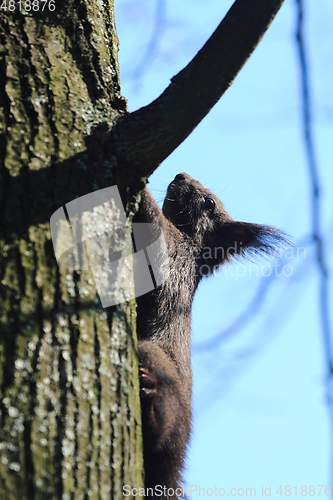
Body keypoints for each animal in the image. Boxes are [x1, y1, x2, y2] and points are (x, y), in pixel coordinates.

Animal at [134, 172, 284, 496]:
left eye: (209, 202)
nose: (180, 174)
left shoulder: (172, 249)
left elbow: (152, 222)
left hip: (156, 364)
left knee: (162, 437)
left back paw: (150, 404)